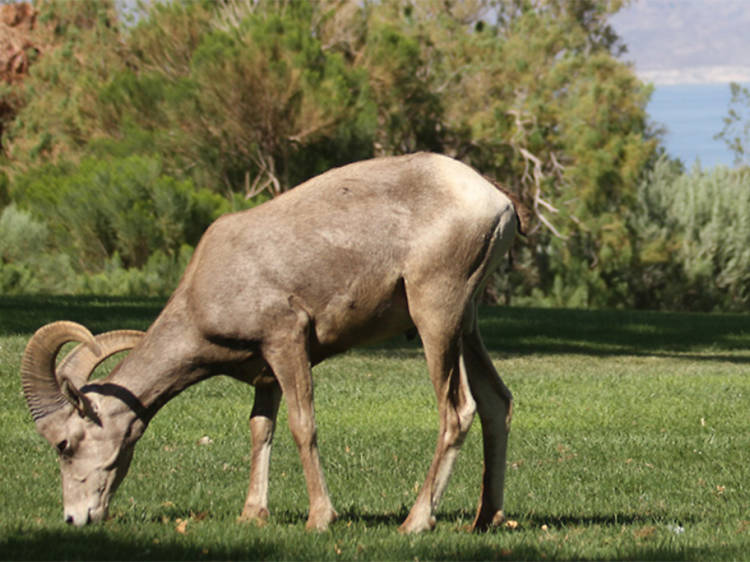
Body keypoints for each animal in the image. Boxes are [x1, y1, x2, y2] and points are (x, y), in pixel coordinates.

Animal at [22, 151, 516, 532]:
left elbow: (302, 424)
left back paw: (415, 523)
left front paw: (320, 519)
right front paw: (252, 514)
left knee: (457, 410)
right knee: (496, 402)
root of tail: (499, 204)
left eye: (64, 444)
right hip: (466, 325)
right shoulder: (266, 371)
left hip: (436, 317)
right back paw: (484, 519)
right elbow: (262, 427)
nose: (75, 518)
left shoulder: (287, 342)